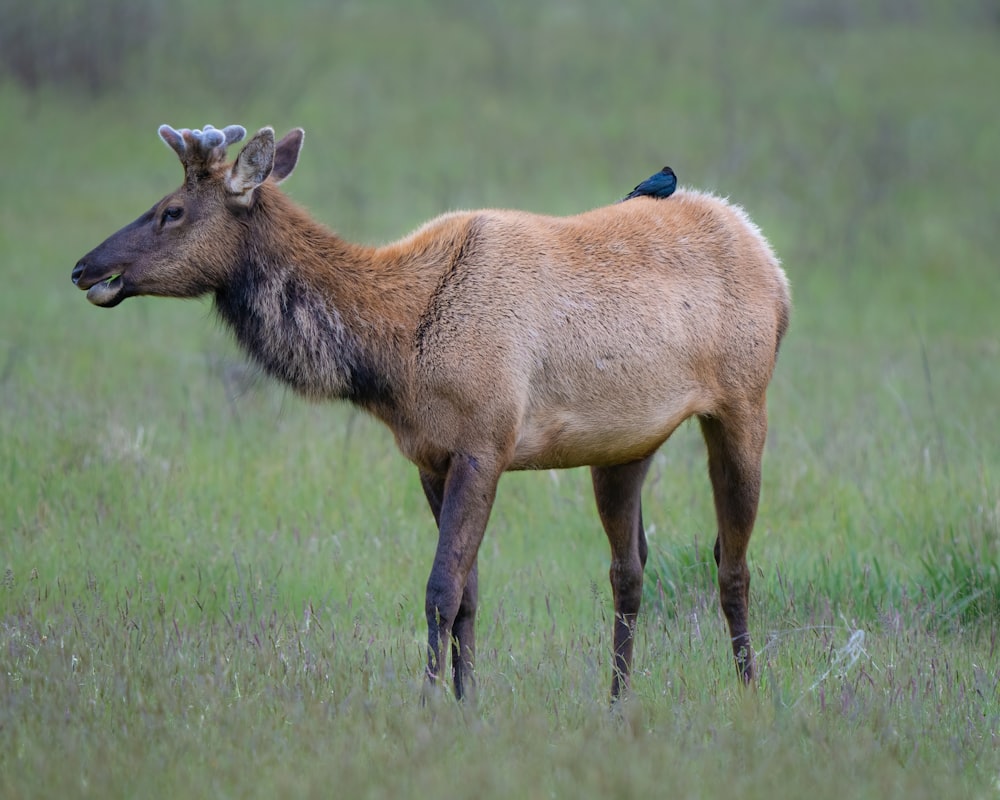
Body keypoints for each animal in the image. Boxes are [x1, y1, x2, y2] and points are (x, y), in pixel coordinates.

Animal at [72, 123, 788, 700]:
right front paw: (466, 701)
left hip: (744, 402)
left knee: (732, 563)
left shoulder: (486, 440)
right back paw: (617, 700)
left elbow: (440, 591)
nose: (84, 267)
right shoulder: (428, 455)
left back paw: (749, 691)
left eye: (171, 211)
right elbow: (468, 595)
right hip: (624, 445)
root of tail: (773, 264)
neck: (396, 351)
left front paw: (427, 703)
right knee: (630, 570)